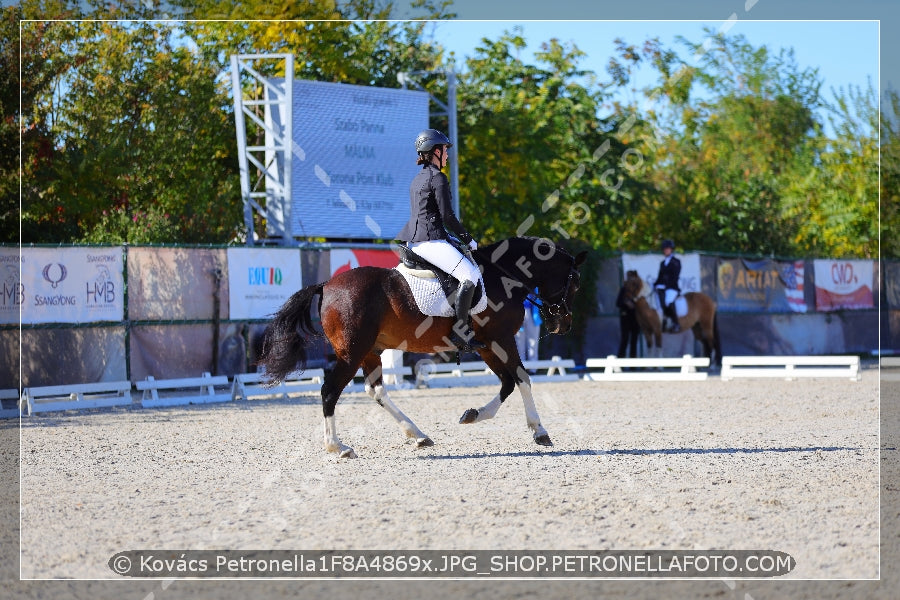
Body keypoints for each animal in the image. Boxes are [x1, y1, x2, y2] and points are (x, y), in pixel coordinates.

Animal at [256, 237, 588, 458]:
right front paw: (540, 431)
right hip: (351, 353)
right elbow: (522, 377)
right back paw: (338, 447)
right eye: (574, 283)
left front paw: (473, 415)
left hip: (370, 351)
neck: (502, 275)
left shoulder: (486, 345)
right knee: (329, 391)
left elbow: (508, 382)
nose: (563, 325)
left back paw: (417, 435)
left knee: (376, 390)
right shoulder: (501, 339)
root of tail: (326, 284)